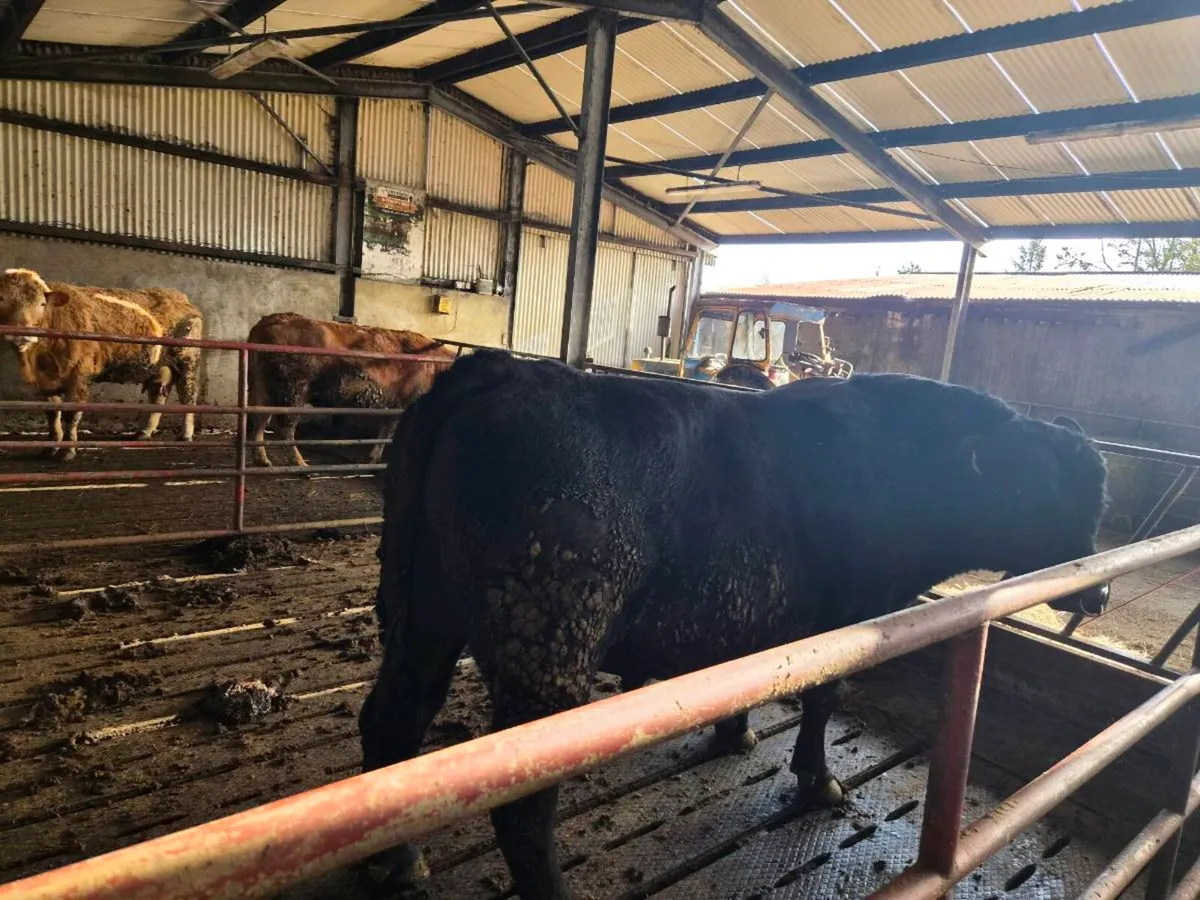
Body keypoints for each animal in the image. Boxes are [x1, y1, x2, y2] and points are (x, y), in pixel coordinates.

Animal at [0, 269, 203, 461]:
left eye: (42, 304)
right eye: (2, 299)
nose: (23, 334)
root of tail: (180, 297)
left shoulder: (79, 375)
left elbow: (71, 414)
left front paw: (67, 452)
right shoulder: (45, 382)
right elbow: (52, 414)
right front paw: (50, 448)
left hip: (188, 362)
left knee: (188, 396)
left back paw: (185, 435)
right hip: (159, 367)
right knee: (157, 396)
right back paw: (144, 433)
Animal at [246, 313, 455, 468]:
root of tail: (270, 320)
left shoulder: (396, 405)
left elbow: (386, 431)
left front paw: (372, 459)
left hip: (264, 389)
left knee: (260, 420)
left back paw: (262, 459)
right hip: (293, 390)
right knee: (284, 427)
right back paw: (300, 464)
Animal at [360, 352, 1110, 900]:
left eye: (1097, 494)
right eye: (1037, 490)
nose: (1099, 590)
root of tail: (500, 369)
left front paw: (735, 730)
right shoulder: (847, 617)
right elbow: (822, 699)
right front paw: (816, 777)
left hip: (422, 618)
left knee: (394, 719)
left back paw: (397, 857)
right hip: (547, 647)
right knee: (521, 804)